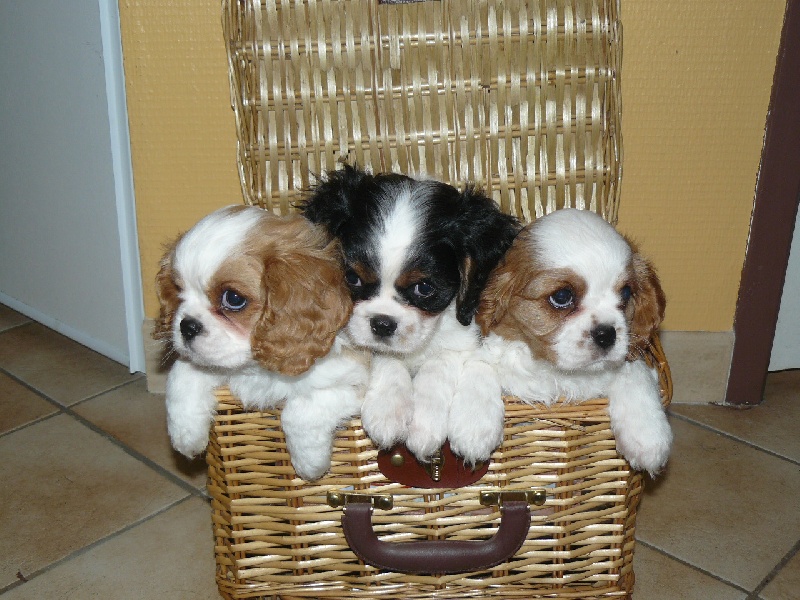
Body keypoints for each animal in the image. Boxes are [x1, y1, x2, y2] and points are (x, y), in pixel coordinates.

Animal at [155, 209, 368, 480]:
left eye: (233, 298)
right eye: (178, 289)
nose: (187, 326)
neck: (257, 371)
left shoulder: (354, 381)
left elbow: (300, 411)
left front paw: (310, 464)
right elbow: (181, 373)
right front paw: (186, 435)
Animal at [298, 166, 520, 466]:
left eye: (424, 288)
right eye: (352, 278)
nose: (382, 324)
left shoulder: (460, 340)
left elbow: (440, 365)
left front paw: (431, 424)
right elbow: (385, 358)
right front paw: (387, 410)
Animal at [478, 209, 672, 476]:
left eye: (625, 293)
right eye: (562, 296)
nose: (606, 334)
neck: (559, 374)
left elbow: (635, 373)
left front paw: (649, 437)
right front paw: (476, 429)